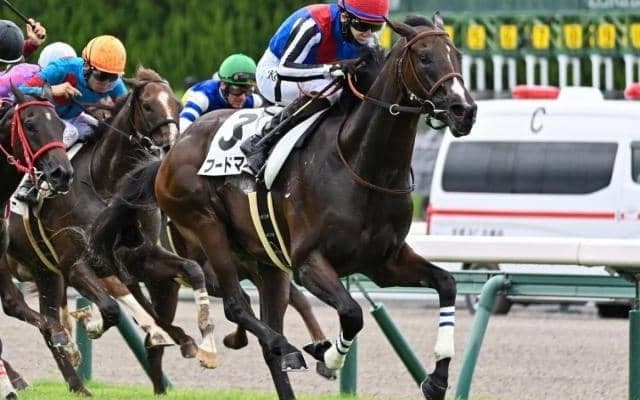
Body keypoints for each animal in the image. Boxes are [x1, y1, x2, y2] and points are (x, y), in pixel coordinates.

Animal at [0, 67, 200, 396]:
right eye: (148, 106)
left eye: (177, 105)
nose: (170, 146)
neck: (106, 184)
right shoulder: (76, 263)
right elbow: (110, 307)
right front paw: (92, 326)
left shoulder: (139, 256)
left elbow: (189, 270)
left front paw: (180, 338)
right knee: (21, 308)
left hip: (45, 271)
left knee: (46, 317)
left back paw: (76, 382)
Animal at [89, 14, 476, 400]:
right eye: (424, 57)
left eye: (456, 55)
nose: (464, 110)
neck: (360, 164)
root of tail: (169, 155)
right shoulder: (308, 263)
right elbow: (352, 313)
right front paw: (329, 356)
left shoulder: (384, 262)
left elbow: (446, 283)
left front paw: (437, 378)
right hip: (205, 225)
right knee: (235, 305)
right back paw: (281, 345)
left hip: (268, 262)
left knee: (265, 335)